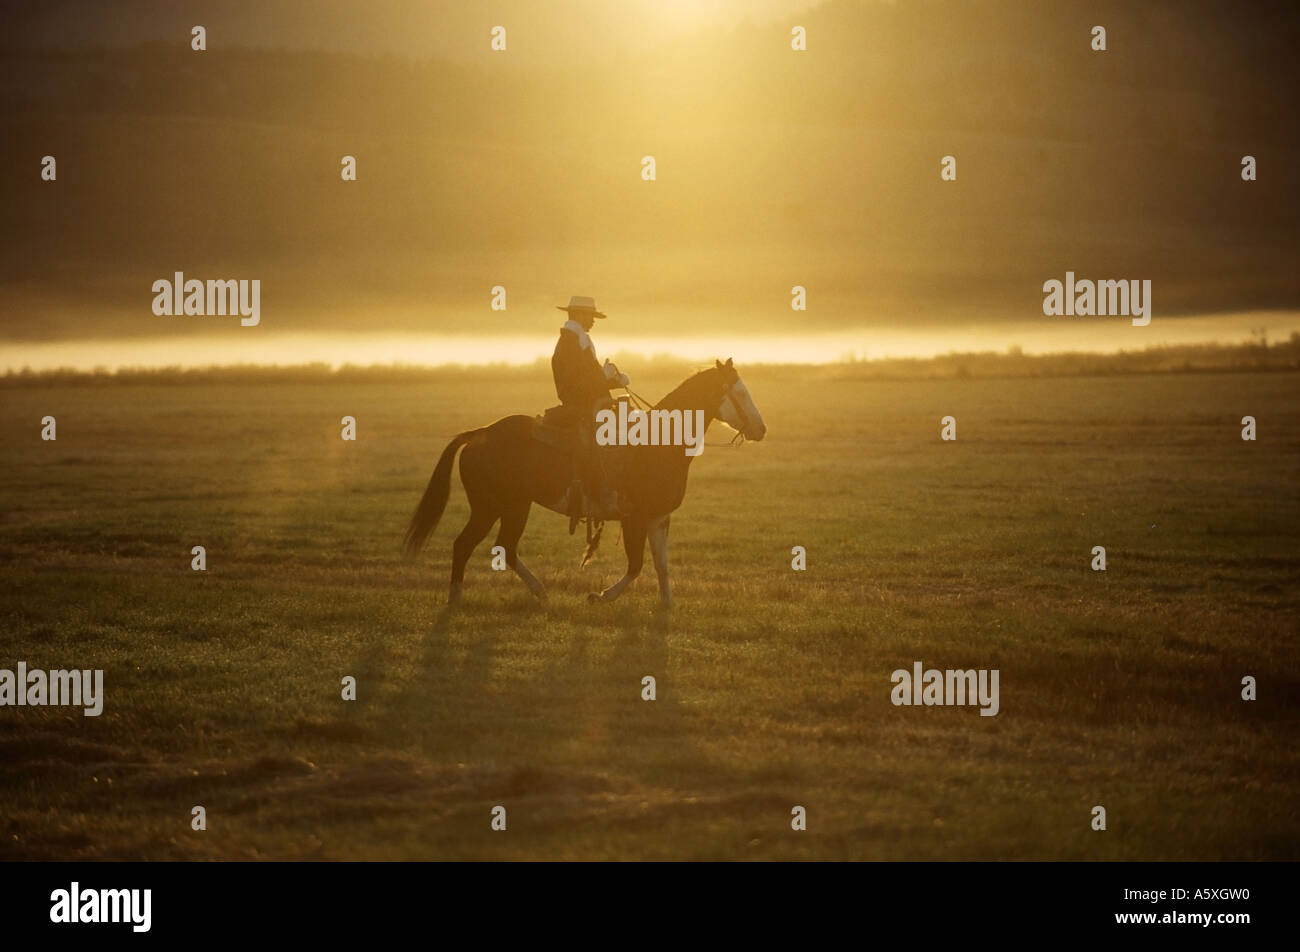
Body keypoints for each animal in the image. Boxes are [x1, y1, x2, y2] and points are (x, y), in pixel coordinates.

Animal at [405, 361, 764, 606]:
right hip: (497, 507)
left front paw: (667, 604)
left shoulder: (659, 518)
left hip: (508, 507)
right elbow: (636, 565)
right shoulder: (633, 519)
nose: (761, 429)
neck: (657, 444)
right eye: (739, 392)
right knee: (469, 545)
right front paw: (601, 596)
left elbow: (661, 565)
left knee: (503, 547)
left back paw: (537, 591)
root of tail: (479, 433)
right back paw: (458, 597)